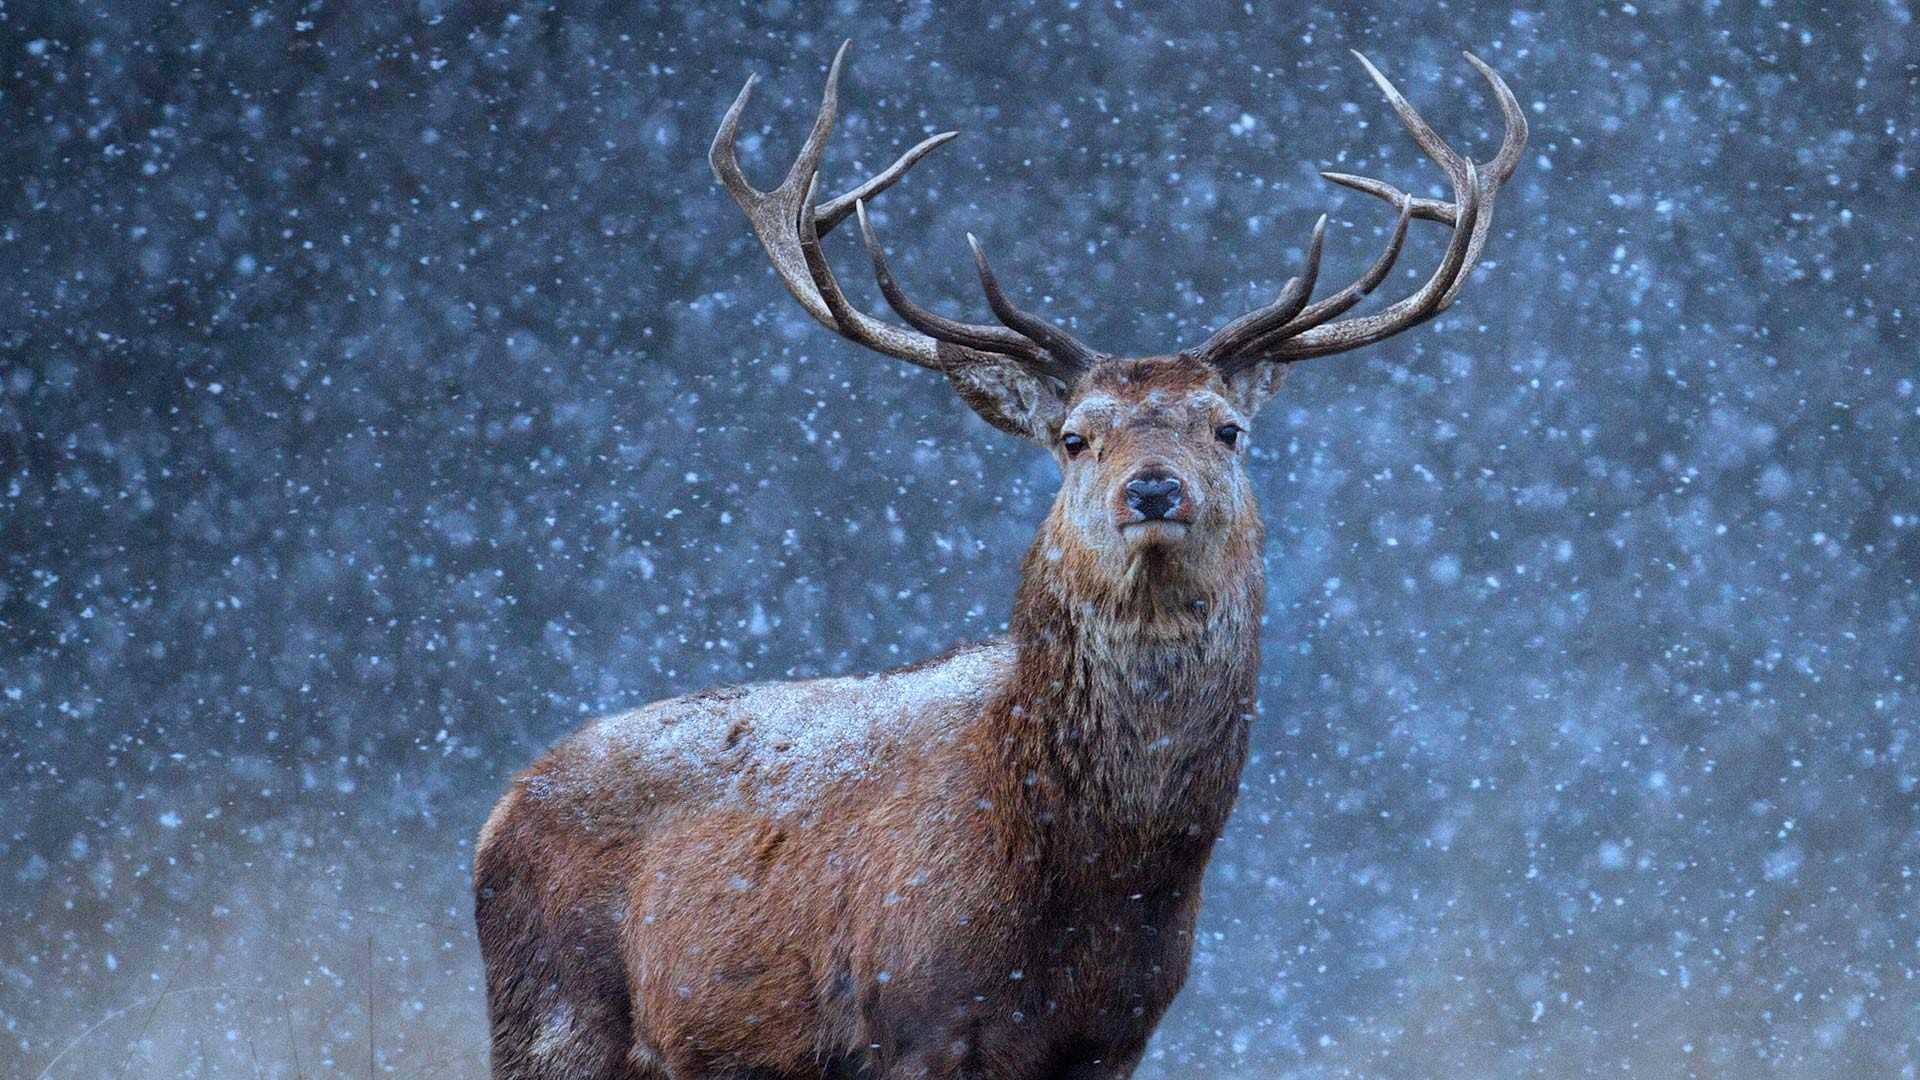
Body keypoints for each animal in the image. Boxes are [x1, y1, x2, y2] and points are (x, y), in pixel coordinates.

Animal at [473, 41, 1525, 1080]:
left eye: (1227, 429)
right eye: (1073, 437)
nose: (1153, 490)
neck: (1090, 882)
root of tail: (500, 809)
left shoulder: (1116, 1036)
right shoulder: (914, 1017)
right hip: (554, 1021)